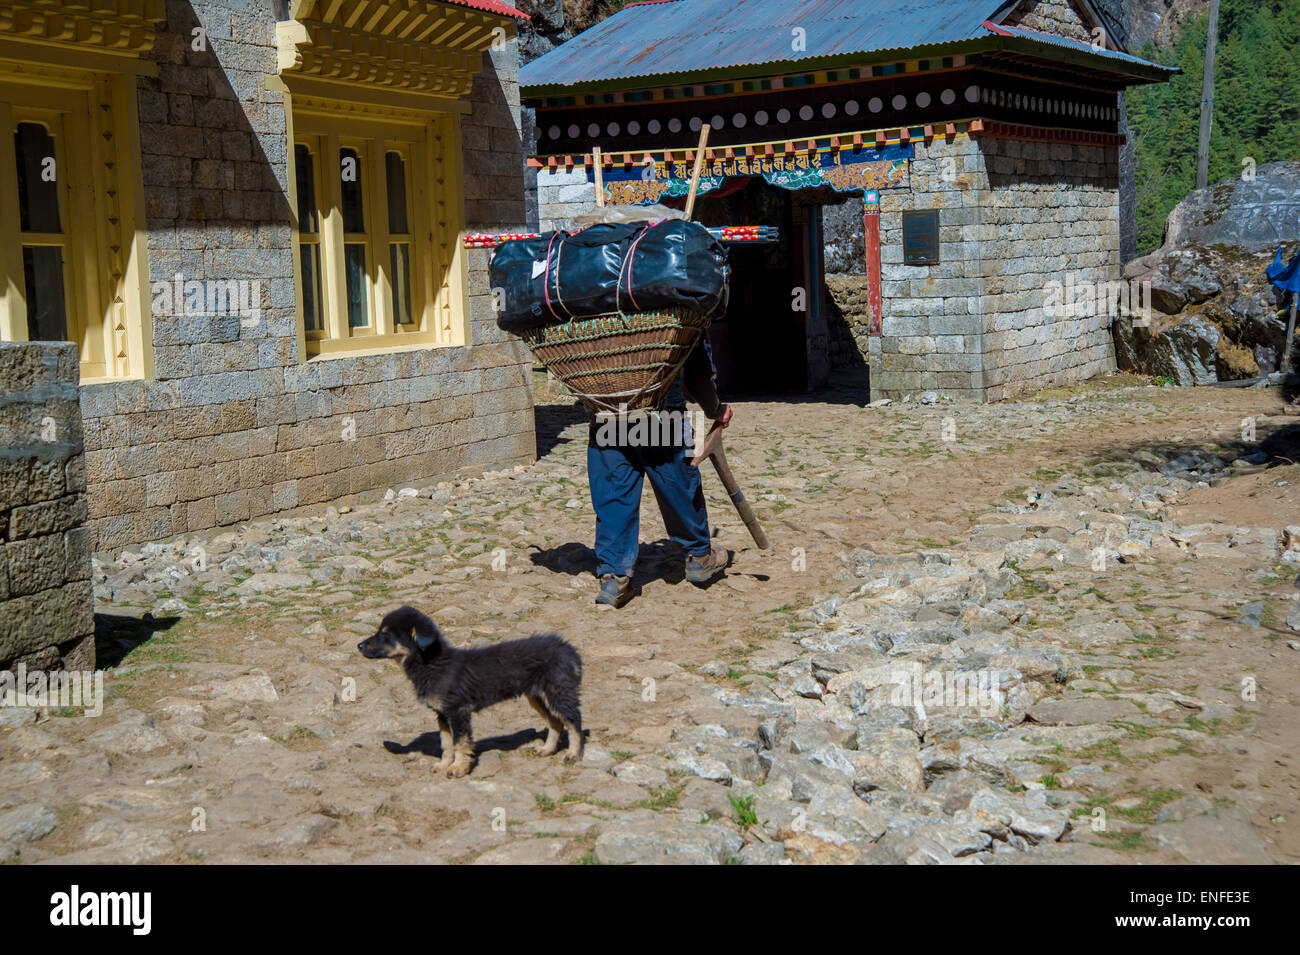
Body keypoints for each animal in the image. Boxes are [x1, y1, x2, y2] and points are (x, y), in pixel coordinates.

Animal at [353, 608, 582, 779]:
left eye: (386, 634)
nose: (359, 645)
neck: (432, 664)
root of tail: (568, 648)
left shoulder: (458, 710)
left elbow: (460, 743)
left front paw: (458, 768)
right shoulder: (442, 713)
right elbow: (446, 743)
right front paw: (444, 765)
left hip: (558, 692)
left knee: (574, 722)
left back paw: (573, 754)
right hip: (537, 696)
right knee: (556, 721)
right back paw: (547, 750)